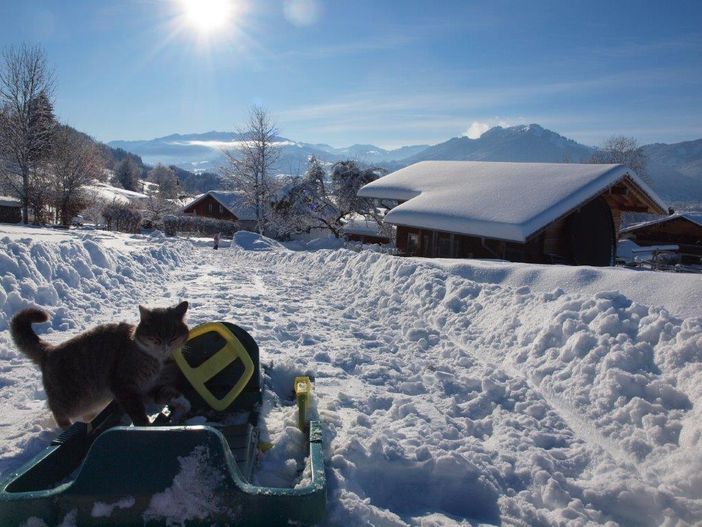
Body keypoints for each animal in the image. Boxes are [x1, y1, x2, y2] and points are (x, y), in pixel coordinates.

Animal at [11, 302, 192, 428]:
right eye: (156, 338)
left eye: (173, 337)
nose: (165, 346)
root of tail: (49, 351)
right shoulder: (123, 387)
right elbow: (137, 413)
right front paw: (145, 426)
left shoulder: (149, 388)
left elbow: (166, 394)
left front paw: (183, 403)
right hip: (73, 399)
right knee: (56, 409)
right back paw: (65, 427)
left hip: (92, 401)